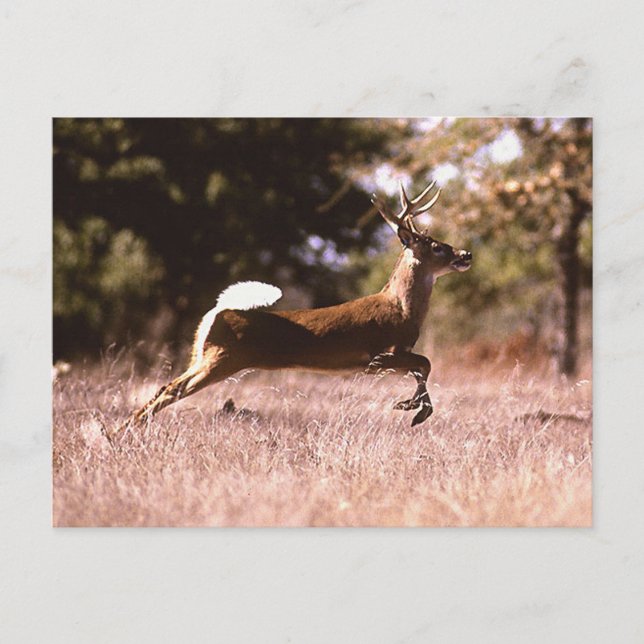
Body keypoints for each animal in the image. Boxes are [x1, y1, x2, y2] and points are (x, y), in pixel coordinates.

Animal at [116, 180, 471, 436]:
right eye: (437, 247)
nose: (465, 254)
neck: (401, 309)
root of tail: (217, 312)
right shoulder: (381, 354)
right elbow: (425, 363)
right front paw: (416, 410)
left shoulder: (394, 355)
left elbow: (422, 367)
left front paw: (411, 406)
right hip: (221, 359)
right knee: (172, 389)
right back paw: (122, 431)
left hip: (202, 356)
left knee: (166, 385)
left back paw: (121, 430)